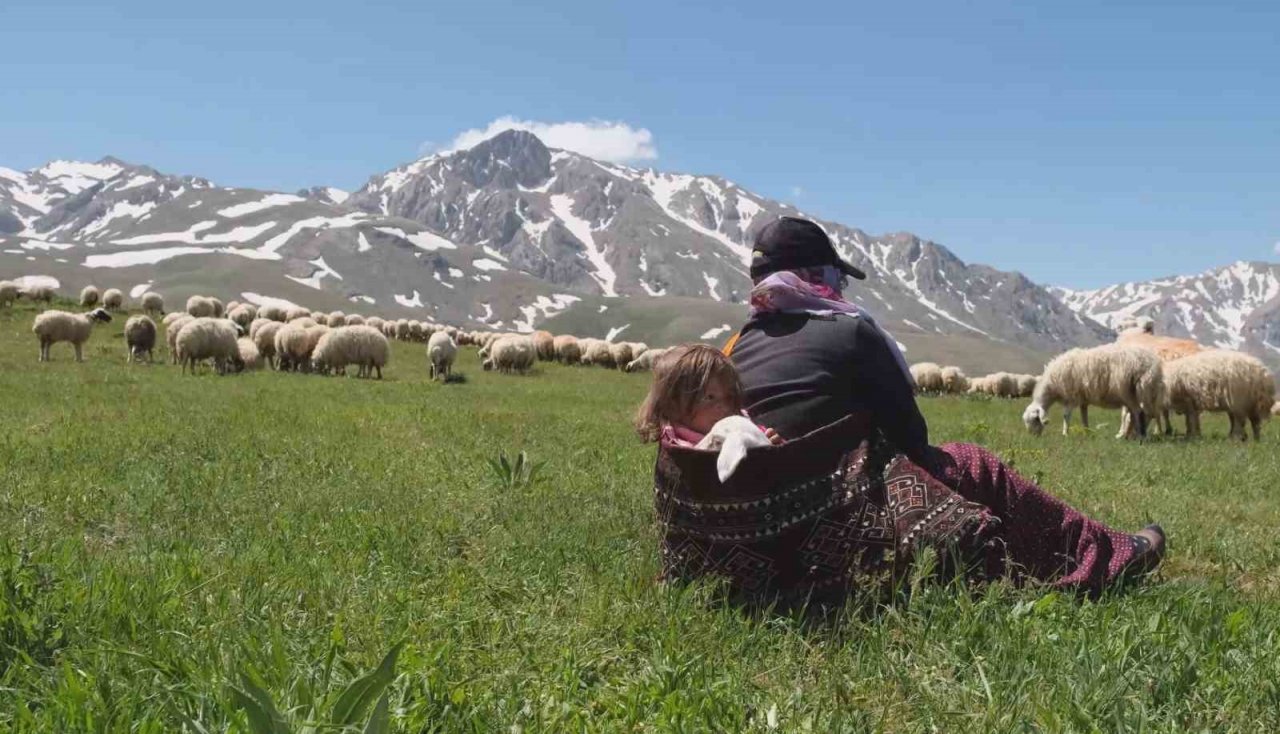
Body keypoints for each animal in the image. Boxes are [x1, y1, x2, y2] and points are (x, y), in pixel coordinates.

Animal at [1024, 343, 1167, 438]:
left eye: (1035, 419)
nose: (1033, 437)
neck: (1052, 385)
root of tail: (1153, 364)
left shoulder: (1071, 396)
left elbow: (1066, 415)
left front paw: (1065, 433)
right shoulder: (1083, 398)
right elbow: (1084, 415)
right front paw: (1086, 431)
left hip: (1130, 391)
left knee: (1138, 412)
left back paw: (1138, 435)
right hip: (1141, 392)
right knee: (1140, 413)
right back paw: (1128, 435)